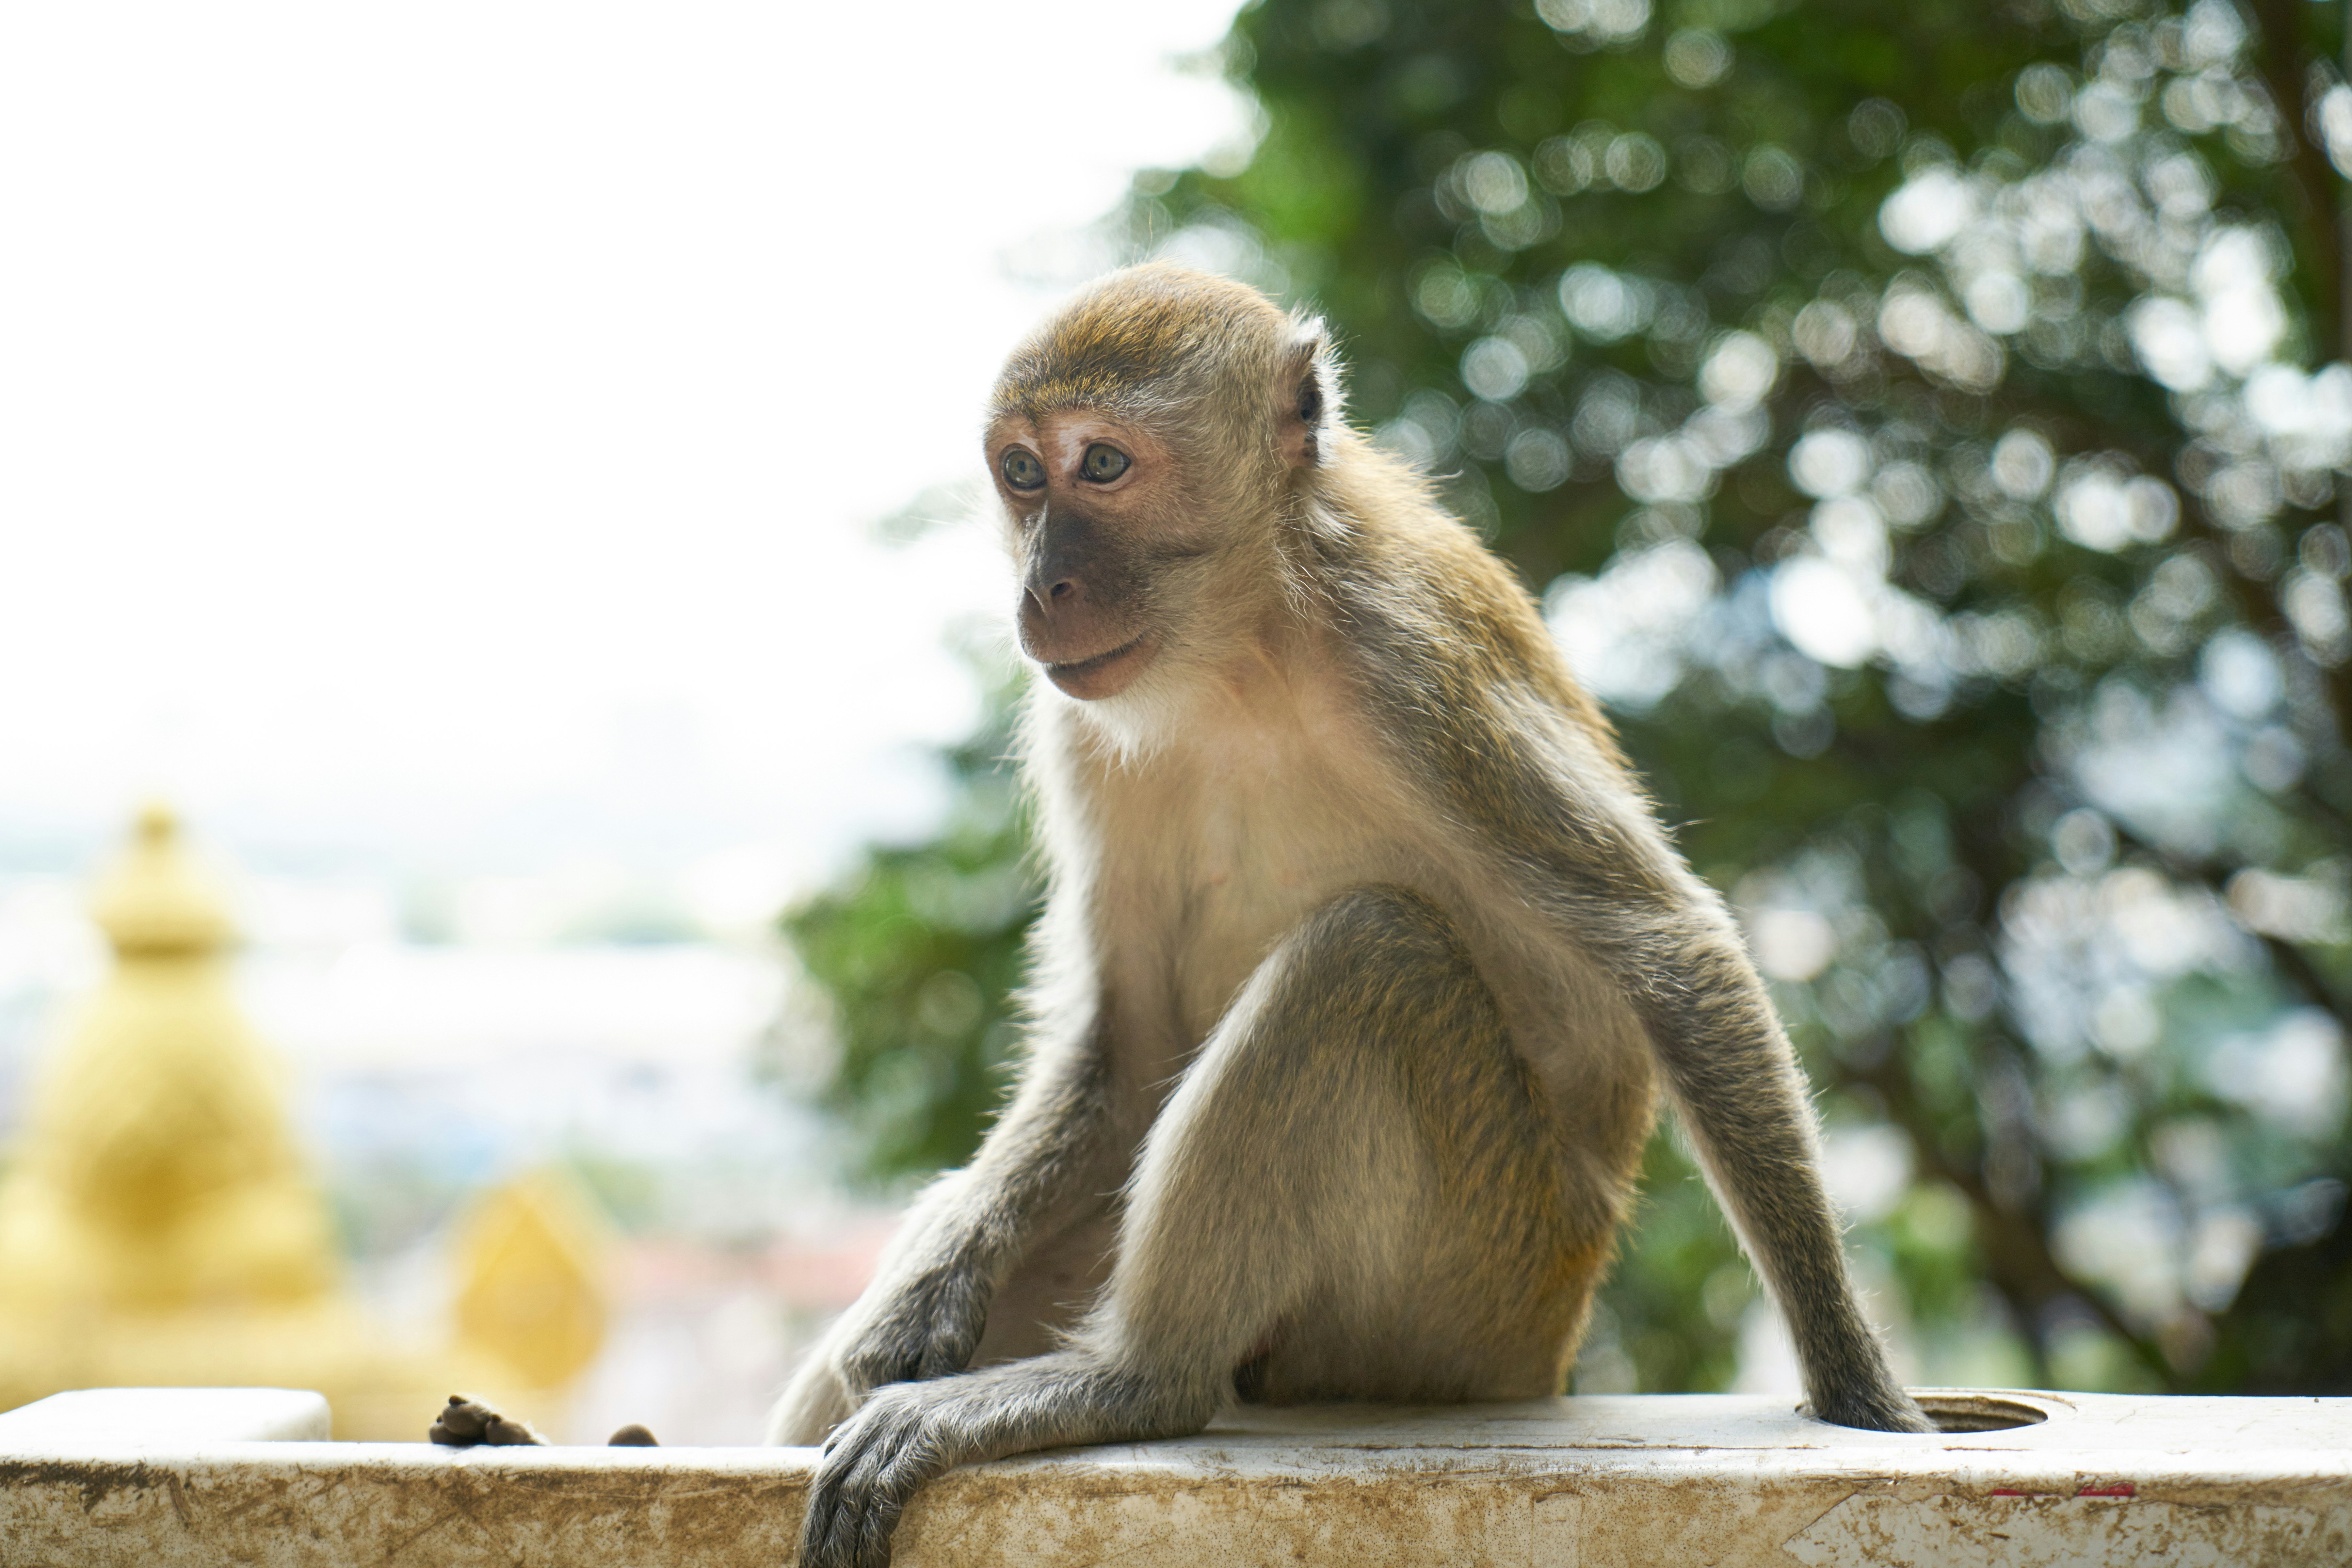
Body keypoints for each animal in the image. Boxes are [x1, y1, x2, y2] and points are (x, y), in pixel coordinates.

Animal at [428, 263, 1928, 1561]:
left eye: (1103, 465)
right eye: (1021, 471)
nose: (1041, 582)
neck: (1246, 646)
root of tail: (1549, 1346)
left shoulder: (1412, 666)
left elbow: (1664, 950)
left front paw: (1863, 1397)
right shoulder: (1079, 722)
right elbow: (1130, 1032)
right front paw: (932, 1280)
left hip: (1481, 1283)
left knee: (1368, 962)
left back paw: (1124, 1383)